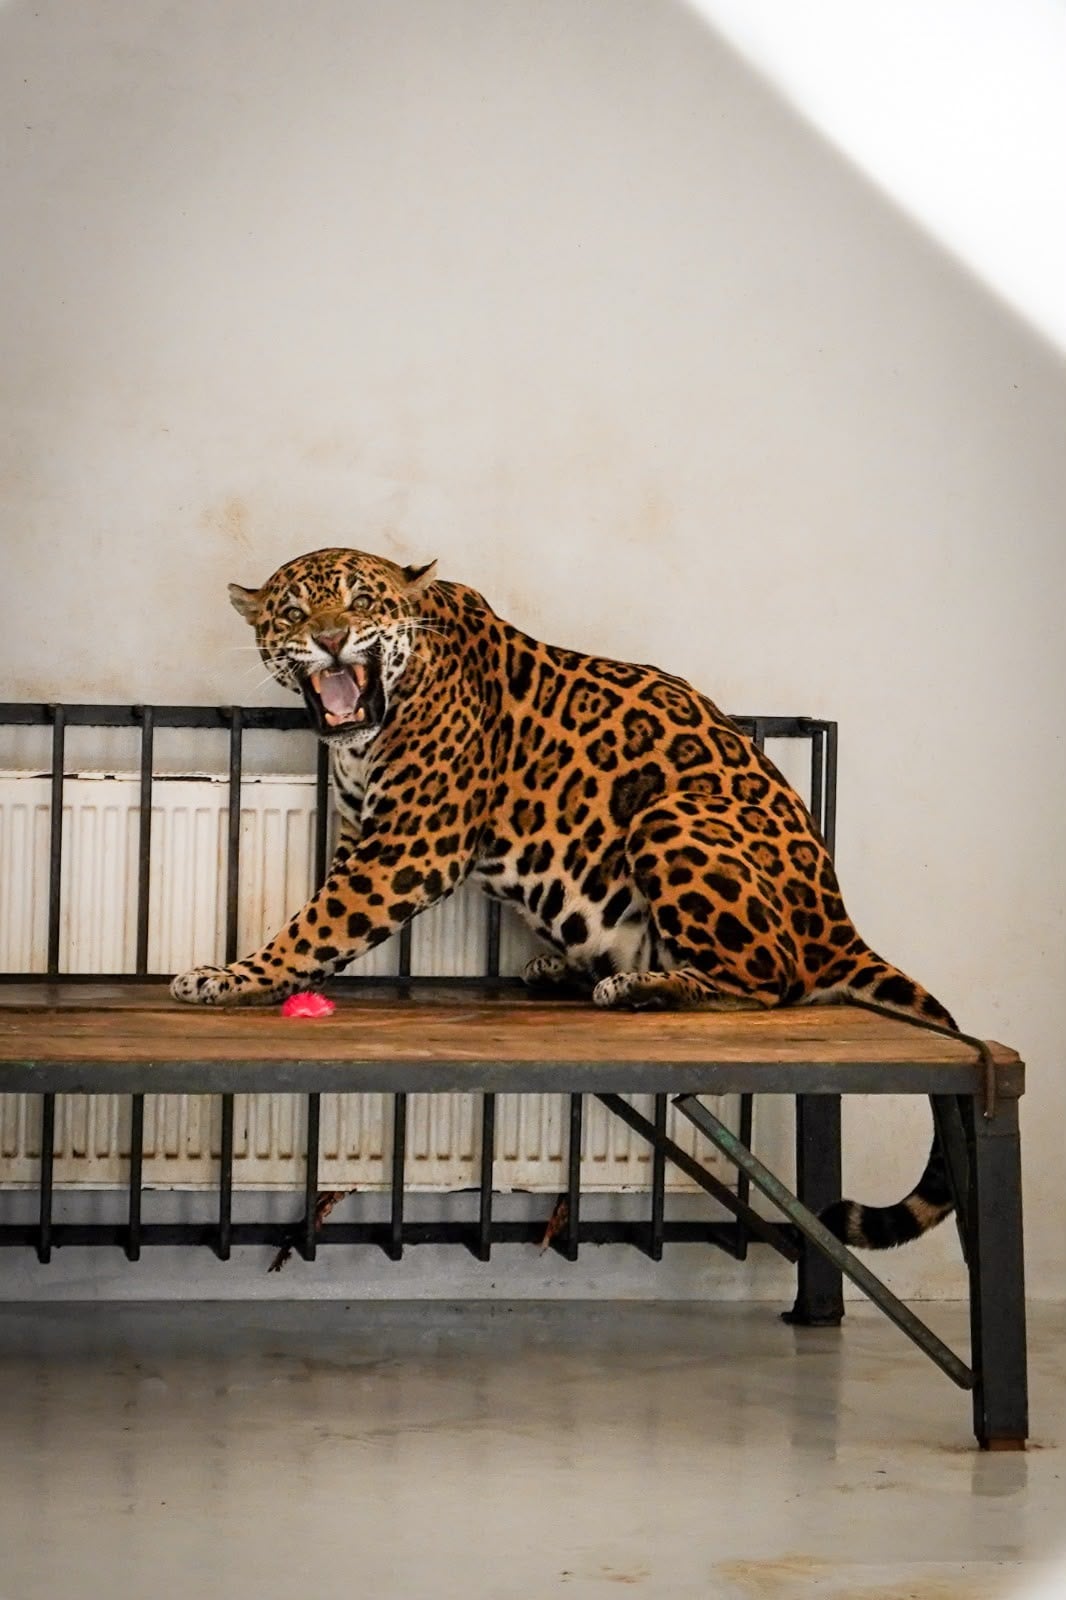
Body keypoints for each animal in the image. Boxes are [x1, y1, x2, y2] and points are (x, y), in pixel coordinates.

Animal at [172, 546, 959, 1250]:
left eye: (361, 604)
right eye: (294, 614)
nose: (332, 639)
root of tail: (840, 921)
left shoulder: (409, 846)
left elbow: (316, 924)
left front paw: (230, 977)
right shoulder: (361, 833)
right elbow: (319, 914)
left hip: (670, 818)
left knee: (775, 981)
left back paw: (642, 990)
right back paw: (566, 971)